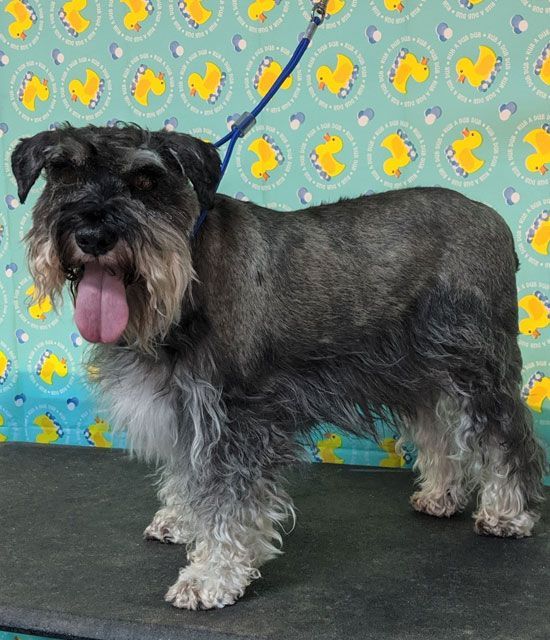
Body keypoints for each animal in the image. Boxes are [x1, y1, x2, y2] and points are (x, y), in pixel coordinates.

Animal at [9, 122, 548, 608]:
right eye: (63, 172)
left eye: (146, 180)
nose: (92, 233)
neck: (187, 274)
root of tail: (495, 221)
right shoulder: (188, 407)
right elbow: (187, 472)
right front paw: (181, 520)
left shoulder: (236, 416)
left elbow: (227, 501)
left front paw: (211, 576)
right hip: (421, 367)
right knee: (439, 426)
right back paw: (440, 493)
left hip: (477, 366)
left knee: (505, 436)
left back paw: (509, 512)